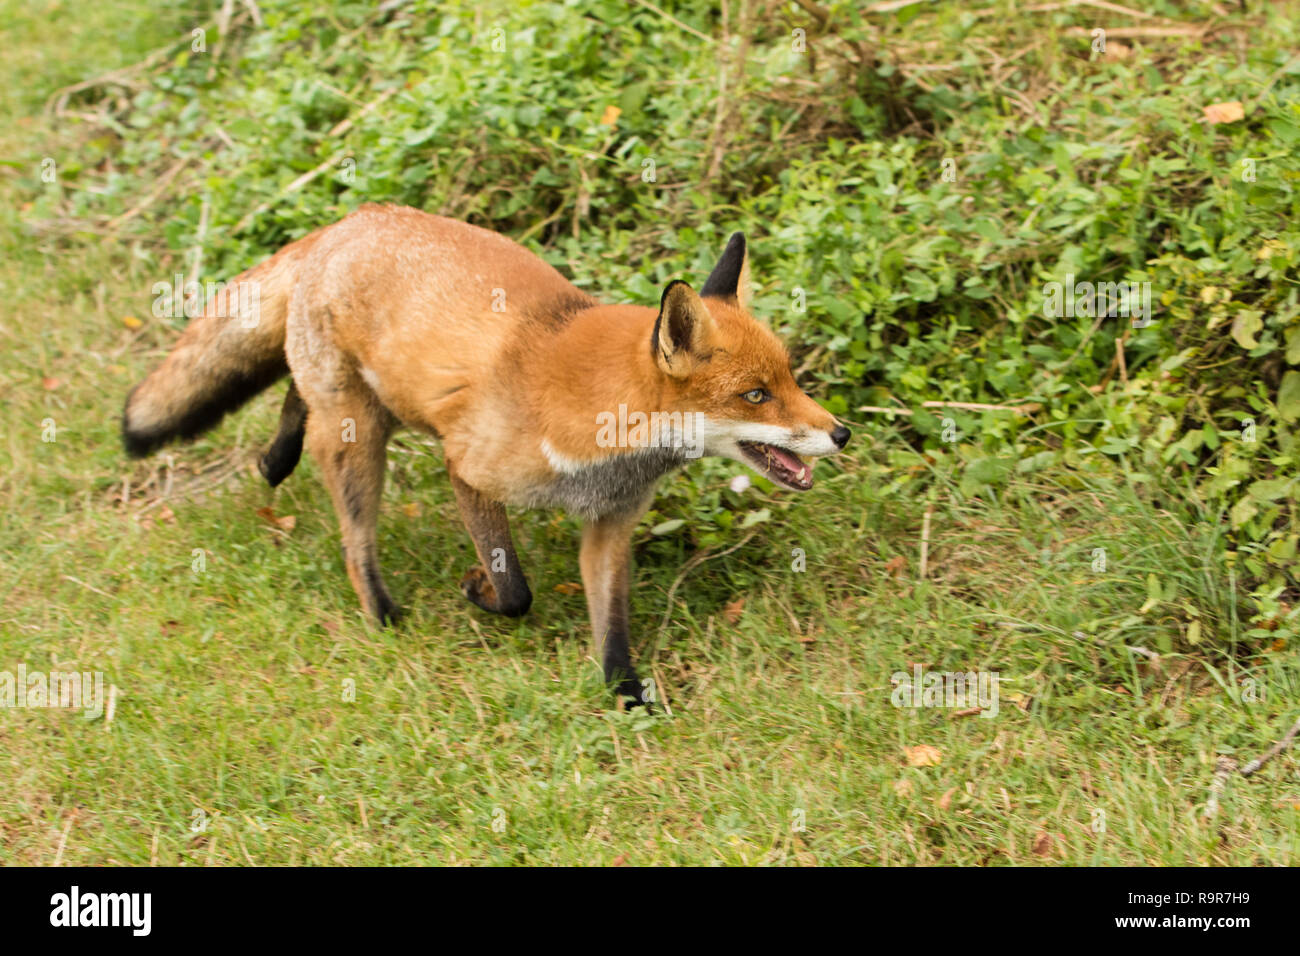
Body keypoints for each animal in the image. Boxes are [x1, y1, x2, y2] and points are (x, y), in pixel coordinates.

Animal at [126, 208, 847, 702]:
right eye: (755, 395)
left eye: (791, 379)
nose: (840, 434)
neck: (600, 416)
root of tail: (349, 219)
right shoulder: (468, 468)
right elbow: (516, 589)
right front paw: (479, 591)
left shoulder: (609, 523)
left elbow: (611, 625)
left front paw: (626, 694)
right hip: (361, 437)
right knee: (355, 537)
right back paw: (380, 612)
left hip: (376, 407)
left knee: (295, 395)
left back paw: (273, 459)